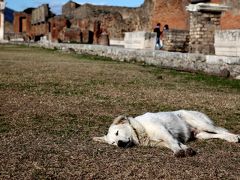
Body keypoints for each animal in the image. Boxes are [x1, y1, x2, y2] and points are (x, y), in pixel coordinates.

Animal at [94, 109, 240, 157]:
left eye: (117, 133)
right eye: (113, 143)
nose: (119, 143)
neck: (140, 130)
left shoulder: (164, 132)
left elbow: (174, 143)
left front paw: (179, 151)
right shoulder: (162, 142)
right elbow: (177, 144)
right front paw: (185, 149)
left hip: (201, 123)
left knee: (220, 130)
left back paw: (235, 136)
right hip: (201, 134)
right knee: (217, 134)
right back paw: (231, 139)